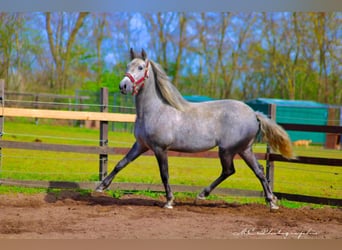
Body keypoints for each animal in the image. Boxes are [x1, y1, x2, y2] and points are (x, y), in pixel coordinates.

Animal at [95, 48, 292, 211]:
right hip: (244, 149)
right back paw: (271, 202)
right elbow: (121, 163)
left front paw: (169, 201)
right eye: (128, 66)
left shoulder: (160, 149)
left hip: (227, 150)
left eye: (141, 67)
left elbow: (164, 174)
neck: (155, 110)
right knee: (258, 170)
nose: (123, 86)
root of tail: (254, 114)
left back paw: (203, 194)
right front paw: (101, 187)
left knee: (229, 171)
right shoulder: (141, 145)